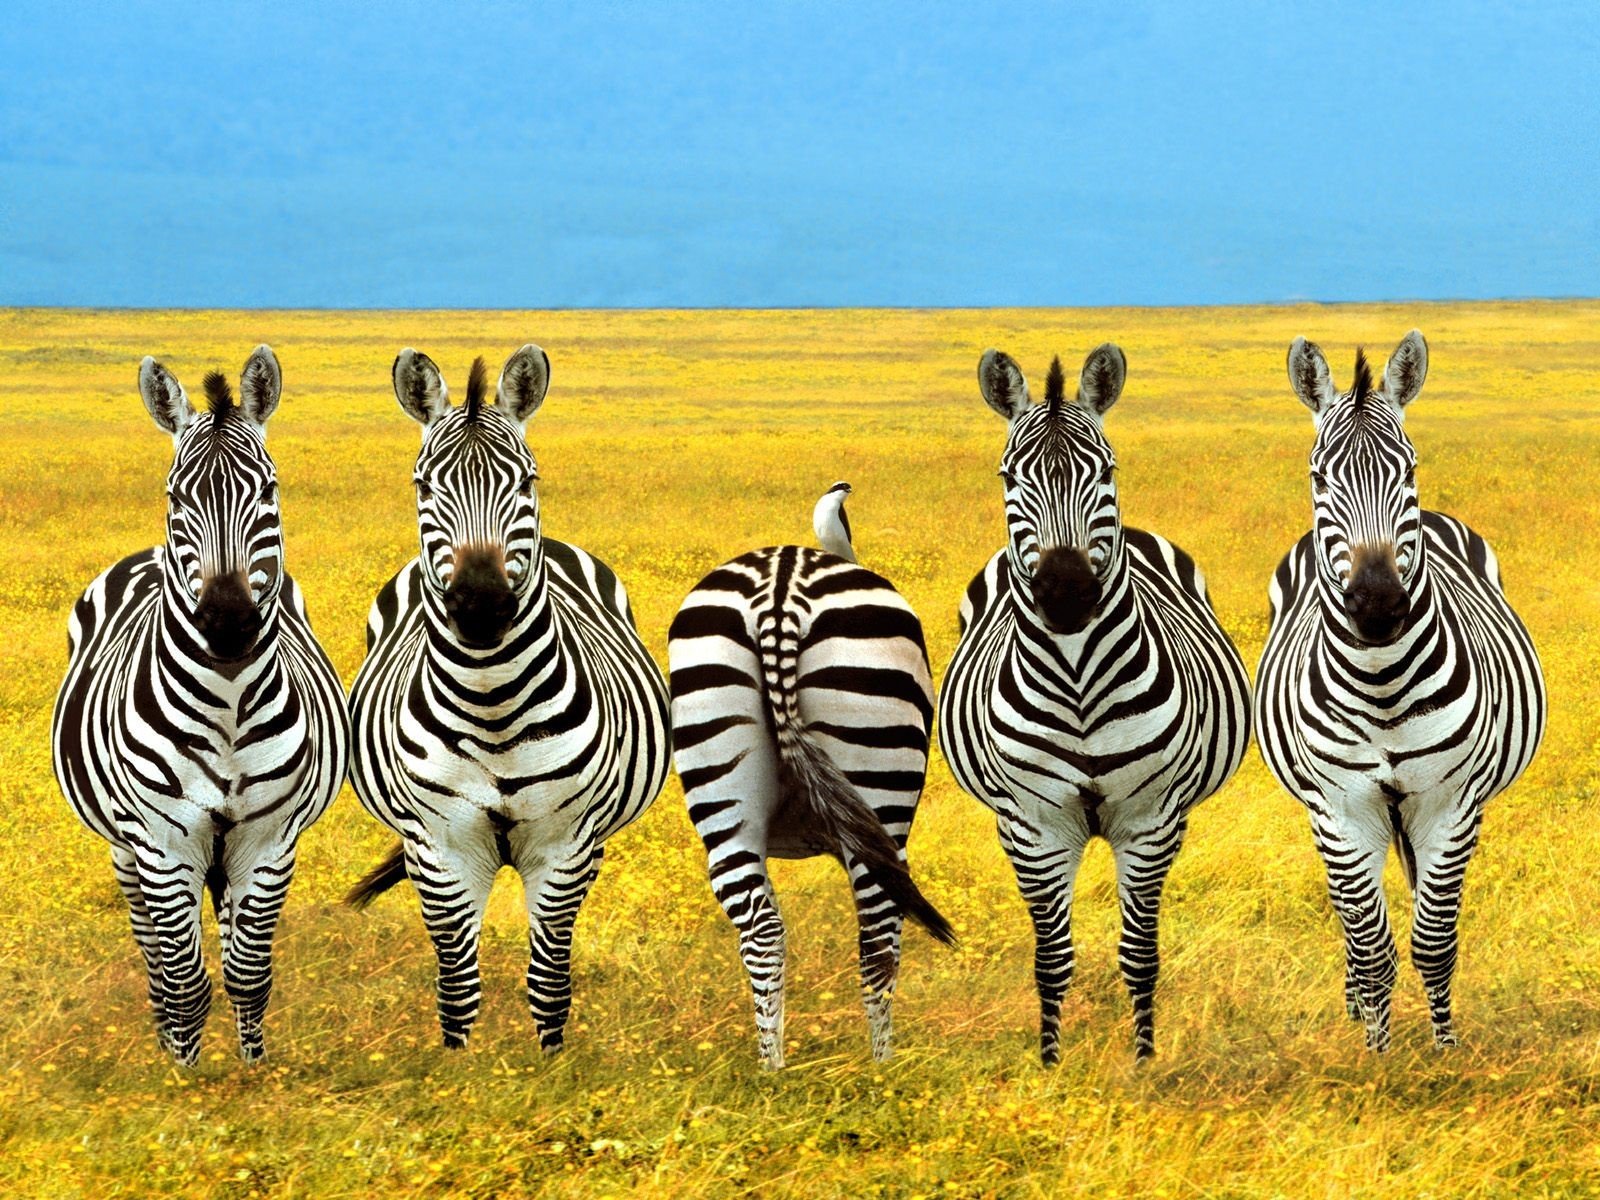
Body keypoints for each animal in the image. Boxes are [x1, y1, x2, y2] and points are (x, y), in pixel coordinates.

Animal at [51, 346, 349, 1066]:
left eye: (268, 491)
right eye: (175, 497)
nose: (228, 620)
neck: (228, 704)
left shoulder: (269, 840)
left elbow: (248, 970)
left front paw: (252, 1071)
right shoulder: (162, 840)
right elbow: (184, 979)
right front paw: (183, 1075)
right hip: (127, 849)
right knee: (153, 952)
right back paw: (164, 1037)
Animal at [344, 345, 671, 1053]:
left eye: (527, 480)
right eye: (422, 487)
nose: (482, 605)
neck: (493, 706)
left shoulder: (564, 845)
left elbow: (549, 979)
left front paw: (551, 1067)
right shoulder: (441, 847)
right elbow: (457, 985)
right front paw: (457, 1069)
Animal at [667, 481, 954, 1068]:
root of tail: (780, 586)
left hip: (719, 777)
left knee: (762, 932)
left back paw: (772, 1070)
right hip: (881, 779)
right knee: (878, 935)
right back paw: (882, 1069)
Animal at [939, 345, 1251, 1063]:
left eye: (1106, 470)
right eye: (1008, 477)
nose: (1066, 592)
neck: (1080, 681)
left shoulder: (1151, 821)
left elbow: (1139, 954)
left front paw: (1143, 1061)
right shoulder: (1033, 826)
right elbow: (1052, 959)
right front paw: (1051, 1062)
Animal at [1256, 330, 1546, 1052]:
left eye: (1408, 470)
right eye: (1319, 477)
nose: (1379, 603)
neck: (1382, 680)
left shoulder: (1451, 804)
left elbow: (1433, 942)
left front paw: (1443, 1052)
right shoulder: (1342, 807)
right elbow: (1371, 945)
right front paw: (1377, 1054)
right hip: (1324, 814)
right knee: (1349, 915)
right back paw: (1356, 1006)